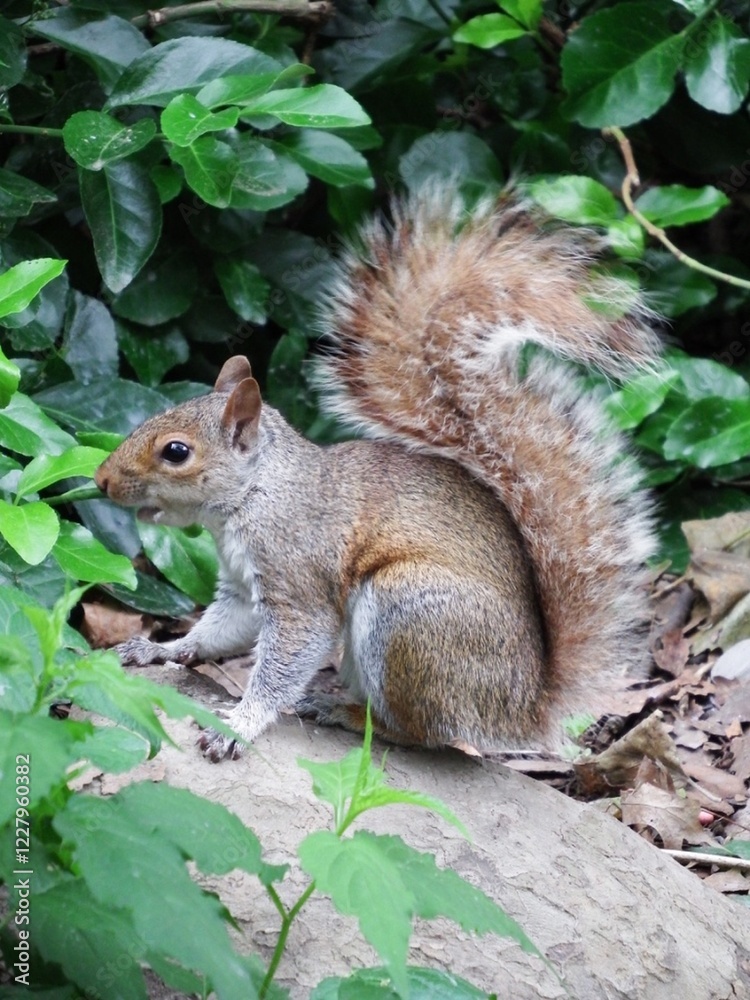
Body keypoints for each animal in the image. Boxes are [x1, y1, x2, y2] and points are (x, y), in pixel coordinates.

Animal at [95, 187, 660, 763]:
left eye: (176, 451)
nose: (100, 480)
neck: (256, 494)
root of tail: (524, 709)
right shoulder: (240, 583)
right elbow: (219, 629)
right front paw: (161, 648)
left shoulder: (297, 577)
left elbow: (288, 655)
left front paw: (239, 724)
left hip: (409, 613)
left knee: (423, 733)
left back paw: (341, 711)